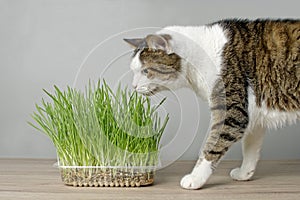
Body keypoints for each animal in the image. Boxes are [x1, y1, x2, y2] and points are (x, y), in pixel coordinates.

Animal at [123, 19, 298, 190]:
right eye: (134, 71)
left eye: (145, 71)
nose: (133, 86)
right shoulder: (253, 113)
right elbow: (250, 147)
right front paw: (244, 173)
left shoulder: (231, 111)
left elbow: (211, 147)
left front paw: (195, 178)